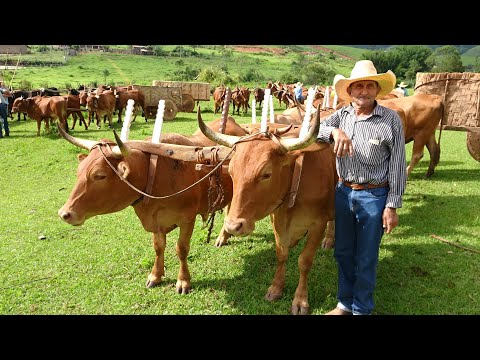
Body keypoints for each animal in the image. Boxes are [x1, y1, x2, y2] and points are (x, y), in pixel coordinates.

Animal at [57, 116, 246, 294]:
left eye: (99, 175)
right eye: (79, 171)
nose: (64, 213)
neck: (155, 174)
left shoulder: (187, 219)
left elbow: (181, 249)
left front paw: (183, 280)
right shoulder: (156, 222)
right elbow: (158, 247)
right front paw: (155, 275)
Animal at [197, 108, 336, 314]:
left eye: (266, 174)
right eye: (231, 171)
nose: (233, 226)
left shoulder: (318, 223)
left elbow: (304, 261)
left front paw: (300, 300)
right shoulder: (277, 218)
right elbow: (281, 254)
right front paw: (276, 288)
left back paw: (329, 239)